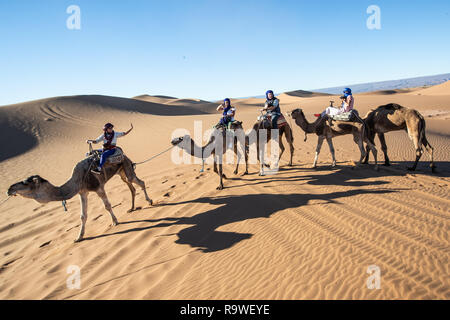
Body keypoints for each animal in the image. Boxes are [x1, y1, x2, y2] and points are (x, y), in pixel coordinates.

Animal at [7, 152, 152, 242]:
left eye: (26, 182)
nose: (9, 189)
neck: (77, 180)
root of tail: (125, 155)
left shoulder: (98, 188)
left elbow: (107, 205)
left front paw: (115, 222)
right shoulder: (83, 192)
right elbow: (83, 215)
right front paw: (79, 237)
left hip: (126, 166)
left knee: (139, 182)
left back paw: (150, 201)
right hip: (120, 172)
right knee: (131, 187)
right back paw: (132, 208)